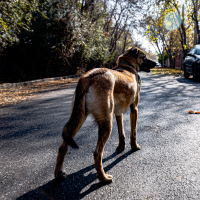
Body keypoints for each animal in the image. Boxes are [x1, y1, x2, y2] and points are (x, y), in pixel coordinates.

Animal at [54, 46, 146, 183]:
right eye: (144, 57)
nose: (156, 63)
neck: (126, 66)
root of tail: (88, 77)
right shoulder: (134, 109)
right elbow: (133, 132)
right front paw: (134, 147)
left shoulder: (118, 113)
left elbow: (121, 133)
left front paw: (121, 147)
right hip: (107, 123)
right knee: (97, 153)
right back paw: (103, 178)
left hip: (79, 118)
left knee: (63, 147)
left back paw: (59, 173)